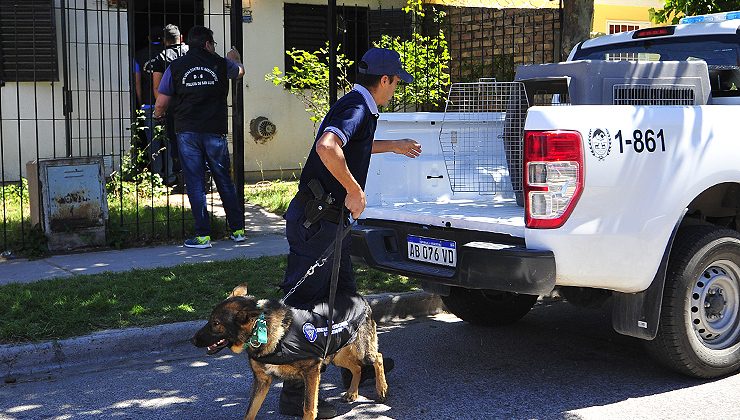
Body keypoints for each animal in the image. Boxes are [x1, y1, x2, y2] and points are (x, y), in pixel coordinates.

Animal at [191, 284, 388, 418]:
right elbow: (250, 411)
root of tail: (360, 297)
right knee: (357, 367)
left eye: (216, 323)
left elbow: (309, 408)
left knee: (377, 357)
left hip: (361, 350)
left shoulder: (312, 372)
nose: (192, 340)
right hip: (336, 353)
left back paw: (382, 389)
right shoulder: (262, 381)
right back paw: (353, 392)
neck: (261, 329)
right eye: (210, 320)